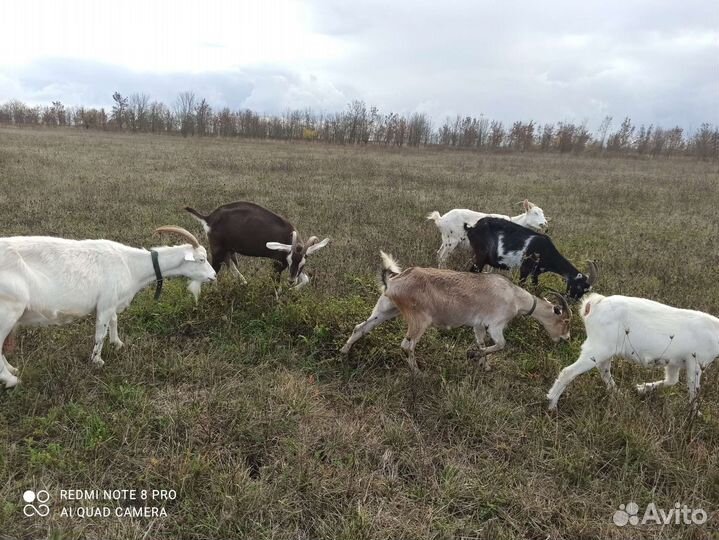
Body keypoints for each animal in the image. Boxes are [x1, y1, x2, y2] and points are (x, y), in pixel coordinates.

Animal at [0, 226, 216, 388]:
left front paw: (118, 343)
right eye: (201, 259)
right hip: (8, 310)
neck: (131, 264)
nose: (214, 276)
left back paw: (12, 370)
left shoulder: (113, 302)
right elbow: (100, 334)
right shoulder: (105, 303)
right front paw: (97, 361)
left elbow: (114, 320)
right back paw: (12, 380)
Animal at [185, 202, 329, 288]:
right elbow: (276, 285)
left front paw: (293, 289)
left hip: (226, 249)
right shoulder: (279, 263)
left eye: (303, 263)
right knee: (214, 270)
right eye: (289, 260)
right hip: (217, 249)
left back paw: (244, 282)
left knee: (229, 263)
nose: (291, 281)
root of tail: (209, 218)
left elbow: (306, 279)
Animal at [340, 251, 571, 373]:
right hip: (419, 318)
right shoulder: (496, 324)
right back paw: (417, 372)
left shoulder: (479, 325)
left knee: (361, 327)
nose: (566, 338)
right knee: (407, 345)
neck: (515, 296)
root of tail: (393, 282)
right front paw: (473, 355)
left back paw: (343, 352)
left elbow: (482, 343)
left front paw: (484, 365)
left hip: (387, 309)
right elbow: (501, 344)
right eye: (565, 320)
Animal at [466, 217, 598, 300]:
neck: (546, 250)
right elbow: (522, 284)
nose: (572, 301)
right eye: (579, 286)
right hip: (481, 255)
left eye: (586, 292)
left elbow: (535, 287)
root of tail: (472, 228)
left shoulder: (536, 272)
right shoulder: (525, 267)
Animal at [547, 293, 719, 412]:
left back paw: (618, 394)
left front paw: (641, 388)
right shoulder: (695, 362)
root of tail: (594, 303)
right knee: (568, 372)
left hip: (605, 348)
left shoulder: (674, 362)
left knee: (604, 369)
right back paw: (552, 404)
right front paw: (695, 414)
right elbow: (693, 390)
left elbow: (672, 380)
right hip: (598, 347)